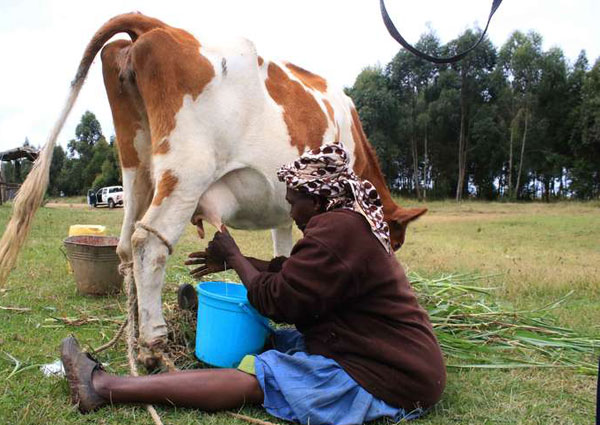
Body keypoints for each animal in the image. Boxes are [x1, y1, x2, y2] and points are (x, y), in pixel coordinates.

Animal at [0, 14, 426, 364]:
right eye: (395, 240)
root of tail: (159, 26)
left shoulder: (285, 209)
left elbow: (281, 253)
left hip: (136, 167)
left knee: (124, 245)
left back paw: (136, 340)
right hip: (187, 170)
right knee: (148, 242)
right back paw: (154, 345)